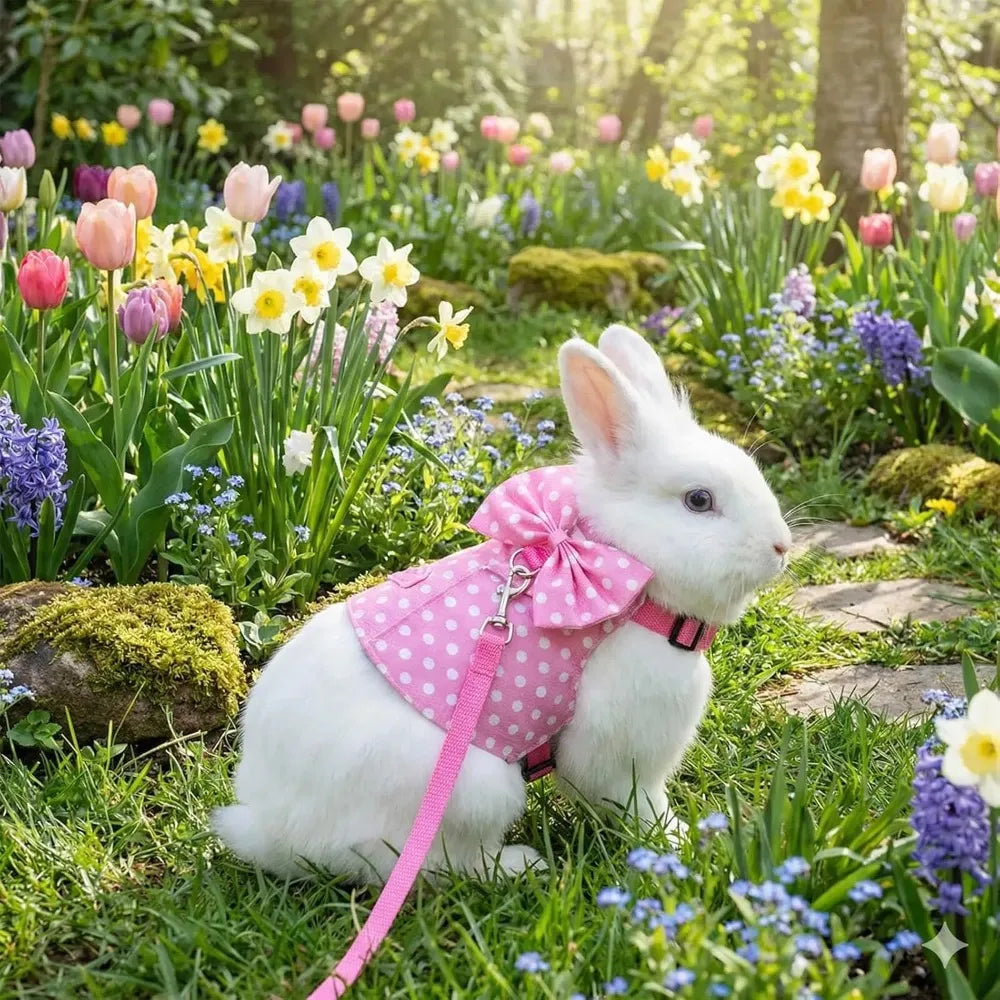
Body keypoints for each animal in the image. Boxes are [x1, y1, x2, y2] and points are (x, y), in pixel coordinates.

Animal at [213, 323, 792, 882]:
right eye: (699, 500)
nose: (782, 546)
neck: (632, 577)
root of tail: (271, 830)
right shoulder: (621, 748)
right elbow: (632, 801)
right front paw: (677, 842)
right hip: (477, 791)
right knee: (440, 866)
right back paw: (521, 864)